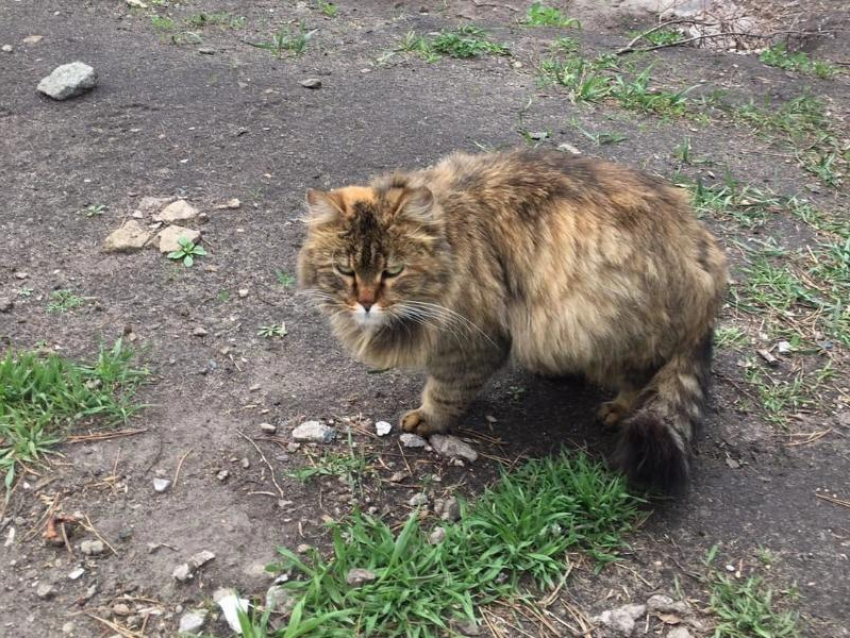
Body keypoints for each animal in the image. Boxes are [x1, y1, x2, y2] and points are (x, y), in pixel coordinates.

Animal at [294, 150, 724, 490]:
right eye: (345, 270)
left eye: (392, 271)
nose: (365, 303)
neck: (450, 236)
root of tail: (704, 252)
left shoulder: (472, 339)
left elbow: (445, 390)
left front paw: (428, 420)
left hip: (604, 322)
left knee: (644, 377)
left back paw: (617, 409)